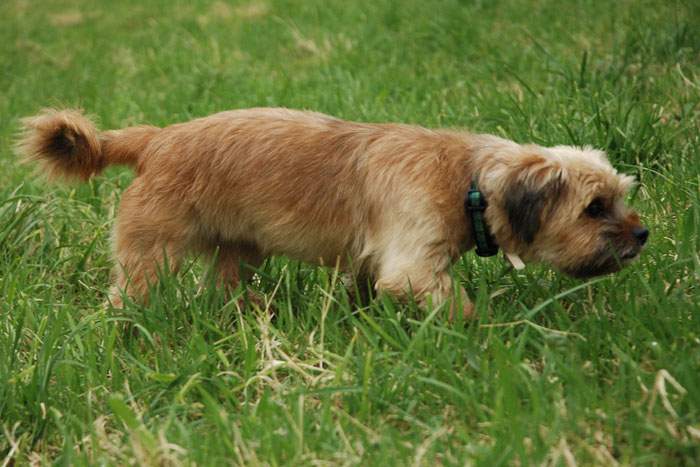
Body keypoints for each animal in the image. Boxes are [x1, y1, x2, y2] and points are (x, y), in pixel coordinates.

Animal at [17, 108, 652, 316]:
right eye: (595, 208)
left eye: (622, 196)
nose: (643, 234)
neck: (469, 179)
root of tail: (154, 140)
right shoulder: (414, 268)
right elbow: (459, 308)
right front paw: (489, 334)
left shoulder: (376, 262)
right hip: (152, 257)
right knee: (131, 295)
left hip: (238, 252)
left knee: (224, 284)